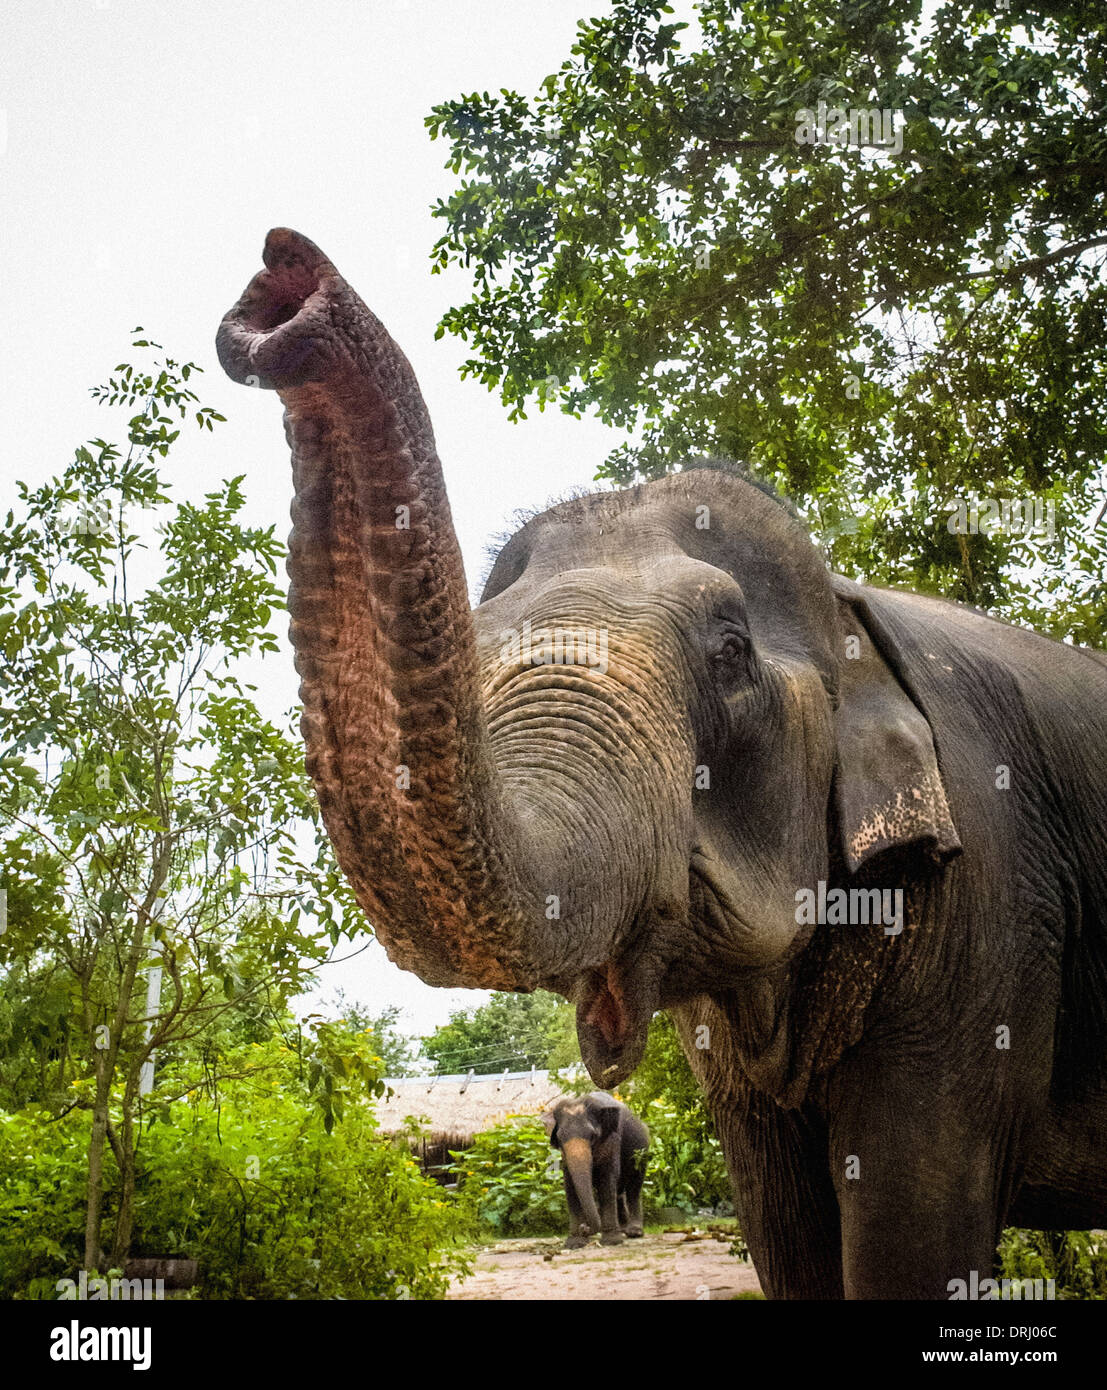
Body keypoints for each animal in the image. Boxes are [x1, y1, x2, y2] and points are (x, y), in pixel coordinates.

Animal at [542, 1089, 648, 1245]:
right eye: (560, 1138)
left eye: (592, 1136)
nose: (584, 1228)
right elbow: (570, 1185)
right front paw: (574, 1243)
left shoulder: (611, 1140)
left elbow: (606, 1180)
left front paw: (611, 1242)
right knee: (620, 1191)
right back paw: (622, 1230)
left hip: (641, 1152)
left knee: (634, 1186)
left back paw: (634, 1232)